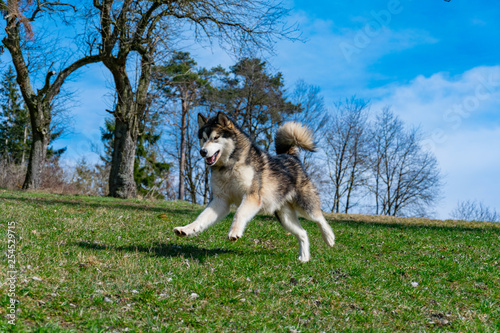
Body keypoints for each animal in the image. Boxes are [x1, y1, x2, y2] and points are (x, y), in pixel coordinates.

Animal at [174, 111, 334, 262]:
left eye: (216, 137)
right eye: (203, 138)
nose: (202, 152)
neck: (228, 166)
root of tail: (290, 156)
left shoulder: (251, 196)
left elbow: (239, 213)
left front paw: (234, 232)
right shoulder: (220, 200)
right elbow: (201, 218)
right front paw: (187, 229)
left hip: (305, 205)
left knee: (319, 217)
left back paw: (329, 238)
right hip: (285, 217)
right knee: (303, 233)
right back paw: (304, 258)